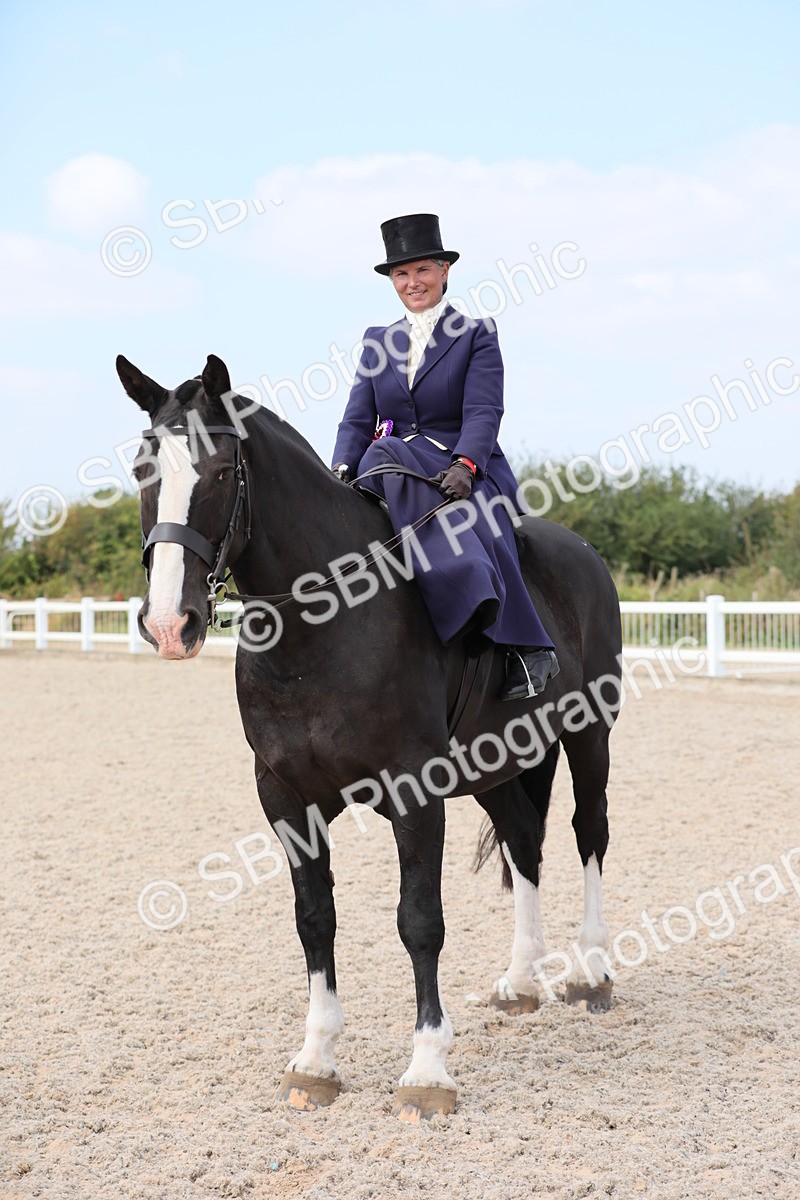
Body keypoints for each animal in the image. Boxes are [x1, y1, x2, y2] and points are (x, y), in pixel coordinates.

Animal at [117, 352, 623, 1122]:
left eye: (222, 471)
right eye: (145, 469)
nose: (171, 623)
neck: (321, 623)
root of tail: (582, 552)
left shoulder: (416, 792)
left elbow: (419, 920)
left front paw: (428, 1071)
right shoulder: (285, 796)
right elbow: (314, 918)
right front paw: (316, 1059)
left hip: (589, 733)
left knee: (588, 831)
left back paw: (591, 971)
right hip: (497, 763)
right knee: (524, 841)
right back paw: (520, 980)